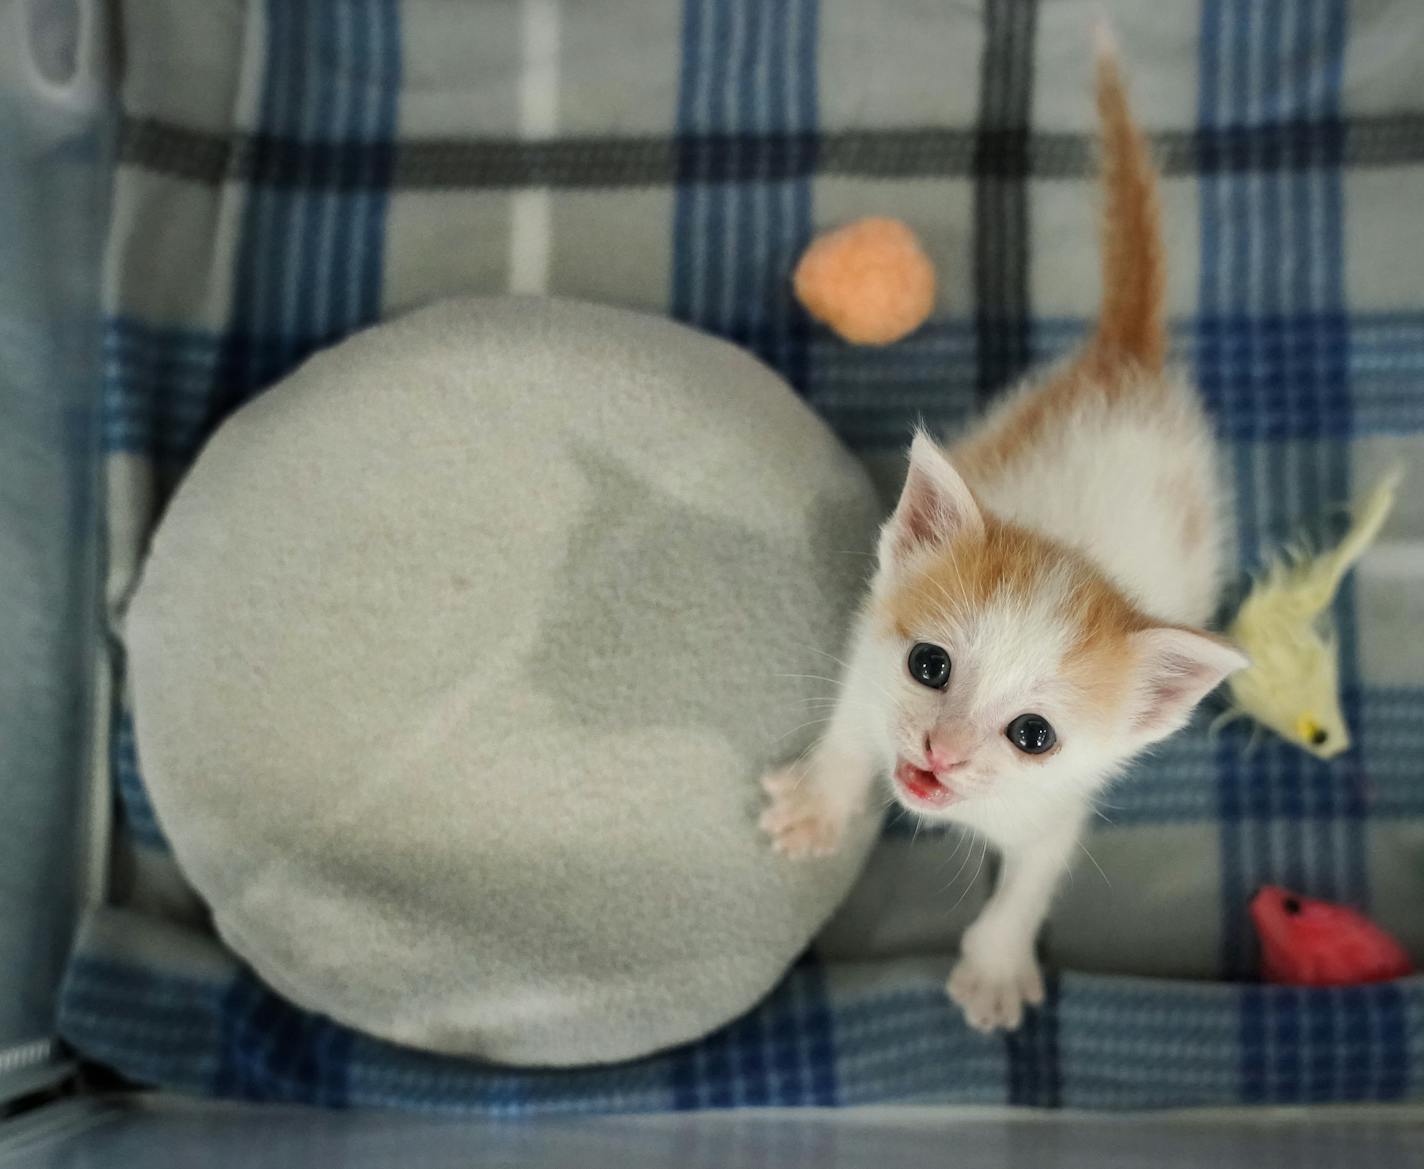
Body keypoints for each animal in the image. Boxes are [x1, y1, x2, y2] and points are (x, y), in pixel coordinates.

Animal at [757, 41, 1247, 1030]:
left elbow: (1034, 873)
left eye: (1033, 735)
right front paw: (823, 801)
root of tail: (1130, 364)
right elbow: (851, 724)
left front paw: (994, 965)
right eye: (930, 665)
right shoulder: (870, 646)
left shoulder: (1056, 806)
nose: (939, 753)